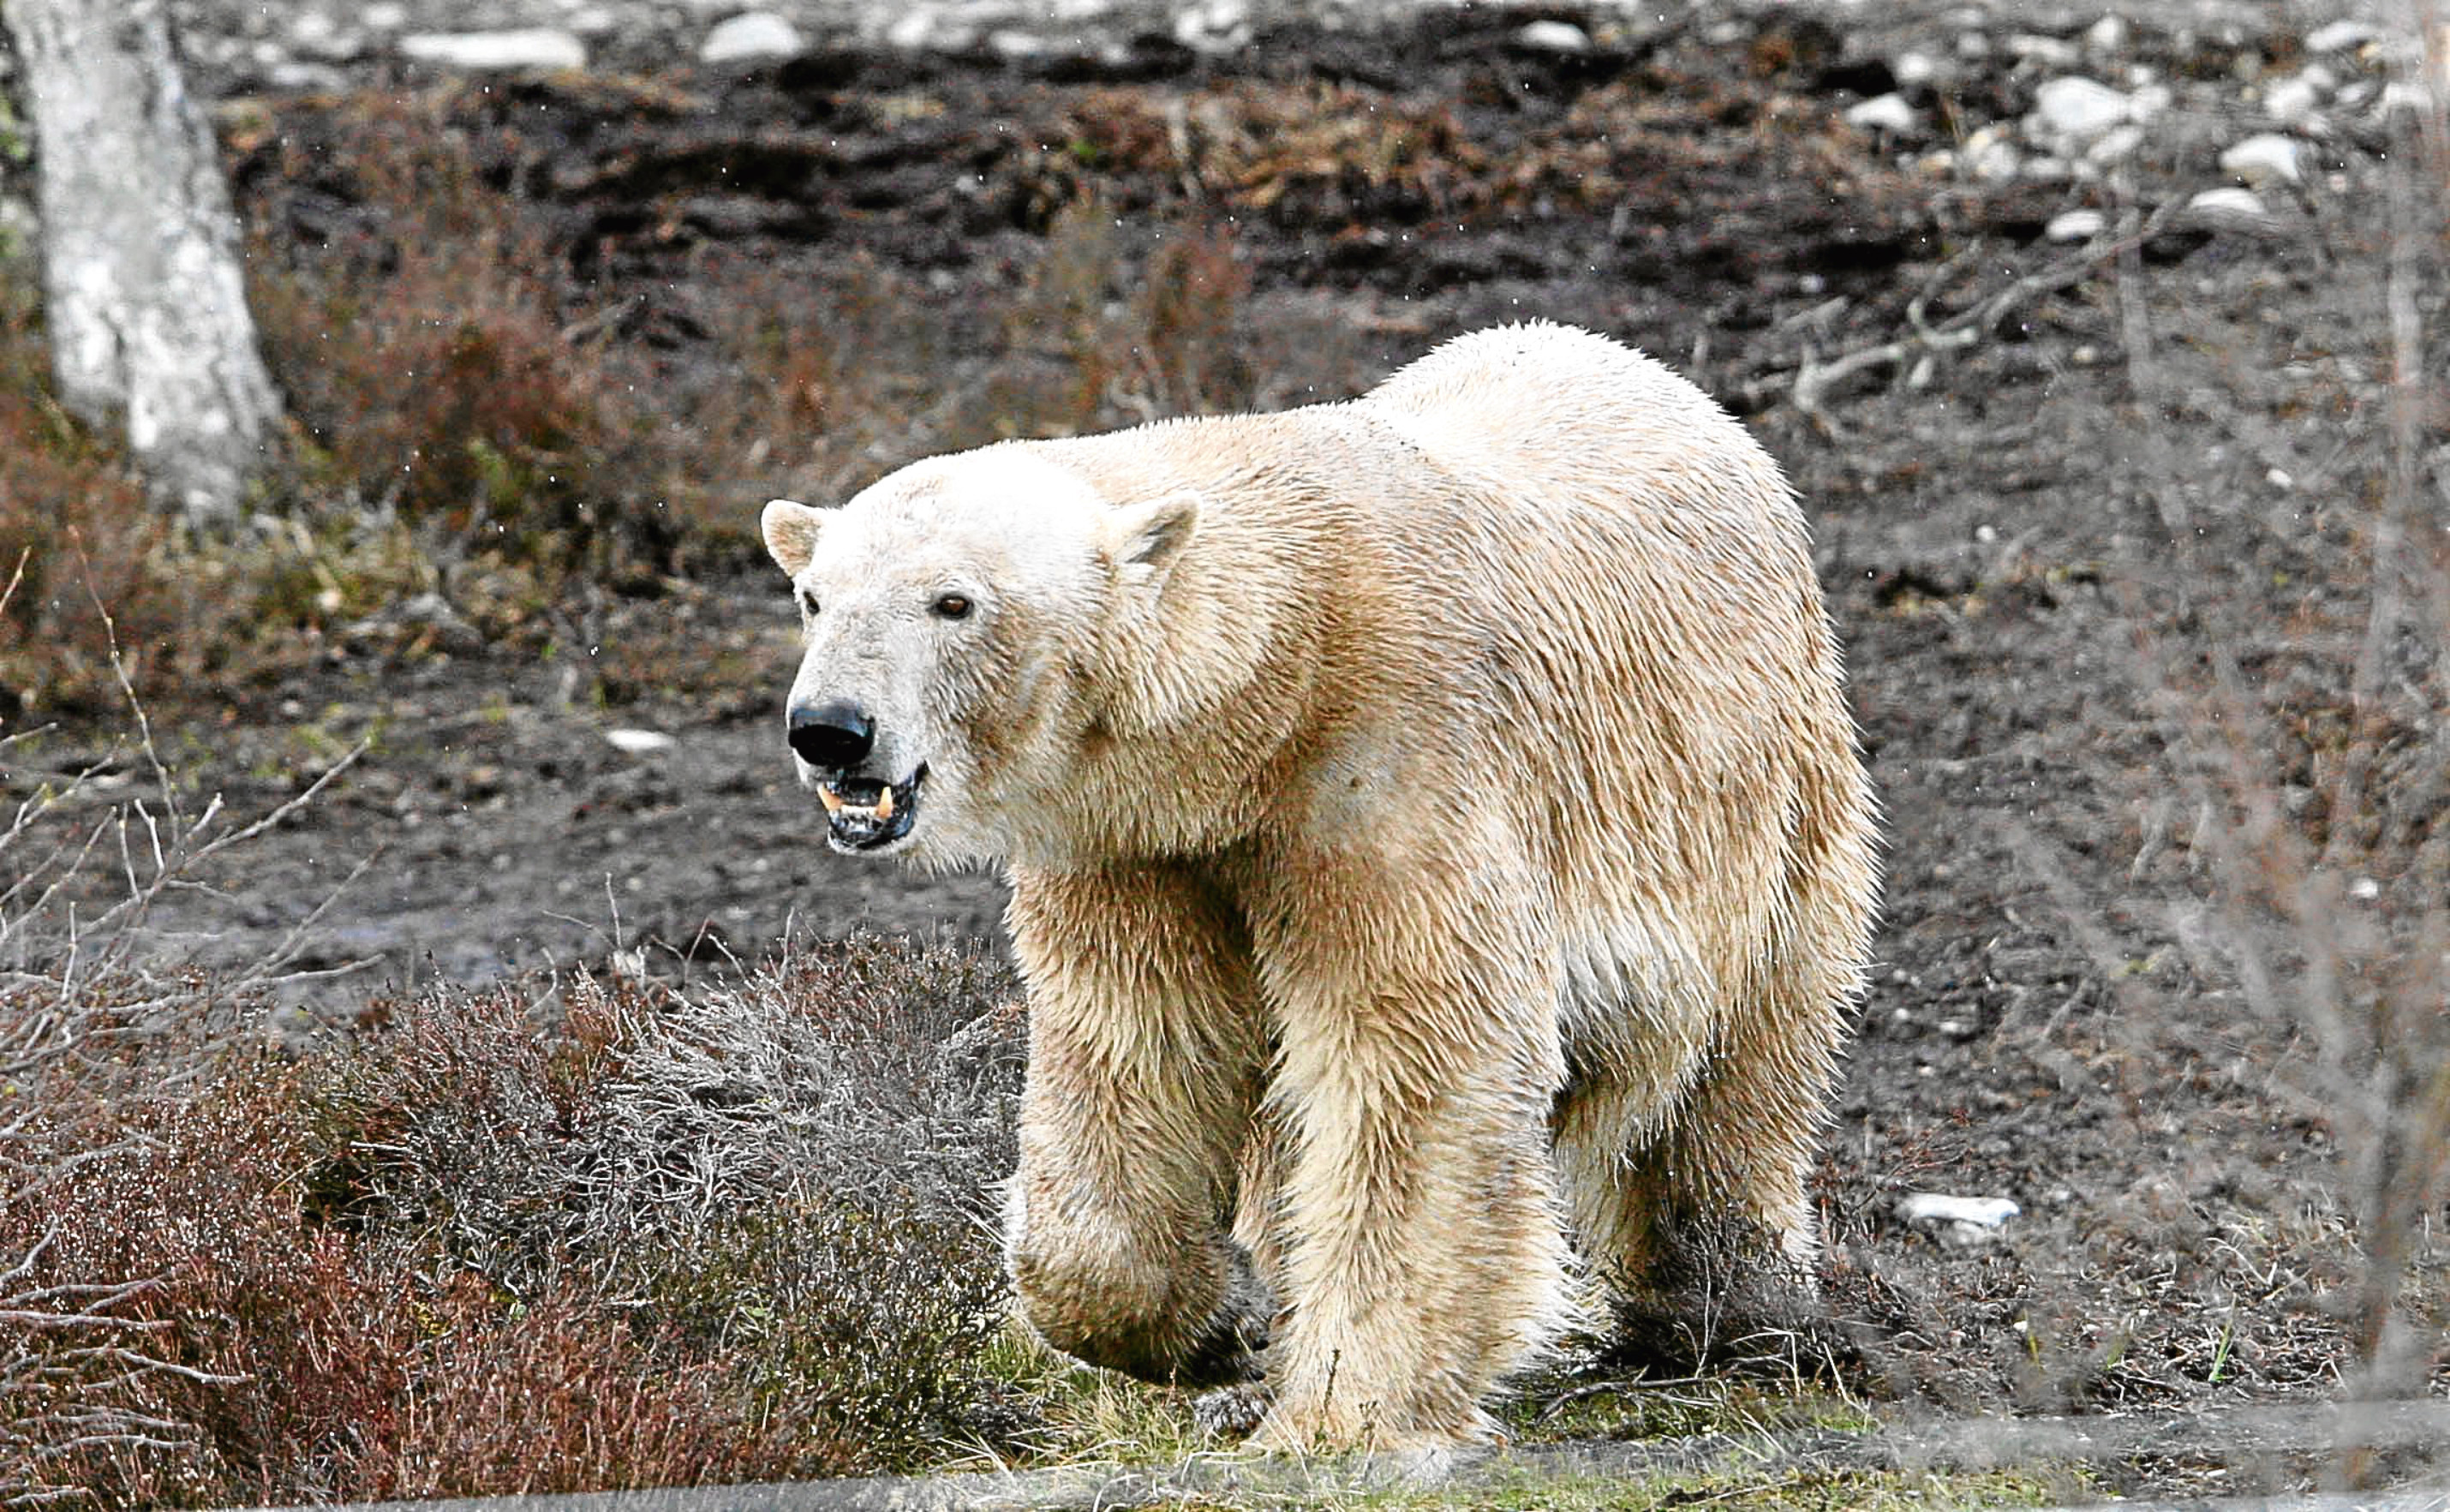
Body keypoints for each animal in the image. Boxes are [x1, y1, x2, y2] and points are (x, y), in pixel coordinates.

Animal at [764, 320, 1872, 1460]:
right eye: (814, 597)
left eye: (955, 601)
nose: (831, 728)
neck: (1278, 687)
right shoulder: (1142, 846)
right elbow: (1138, 1043)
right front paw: (1219, 1326)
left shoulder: (1392, 765)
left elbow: (1416, 1053)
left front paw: (1349, 1411)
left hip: (1766, 795)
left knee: (1739, 1062)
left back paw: (1729, 1310)